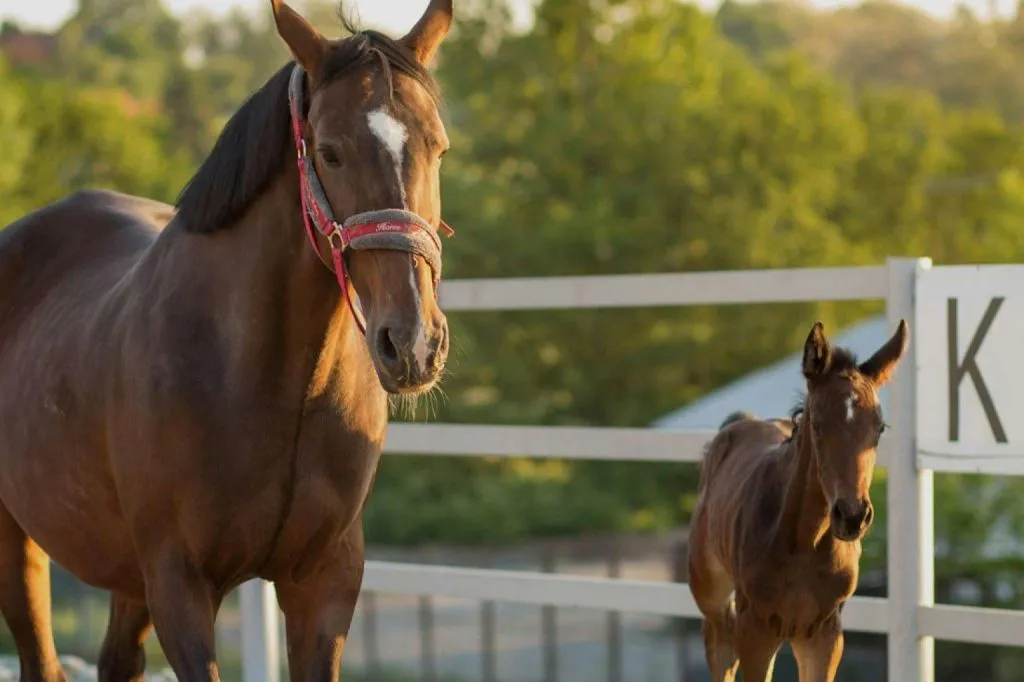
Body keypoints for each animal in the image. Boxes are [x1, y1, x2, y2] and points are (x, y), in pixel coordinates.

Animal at [687, 319, 909, 681]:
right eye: (816, 424)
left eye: (880, 427)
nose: (852, 515)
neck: (804, 542)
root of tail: (739, 422)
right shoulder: (755, 628)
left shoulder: (824, 633)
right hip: (714, 601)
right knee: (720, 649)